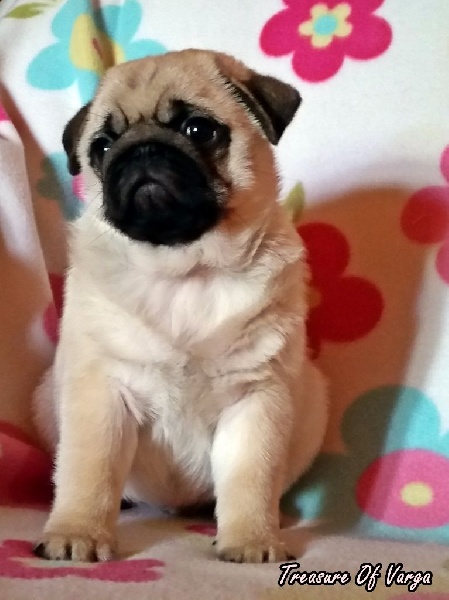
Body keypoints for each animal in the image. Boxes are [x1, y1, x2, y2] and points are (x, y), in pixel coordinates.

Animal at [32, 49, 328, 564]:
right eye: (102, 147)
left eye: (198, 130)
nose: (142, 150)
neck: (185, 270)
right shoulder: (102, 393)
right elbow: (89, 472)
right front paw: (78, 533)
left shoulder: (256, 398)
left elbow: (251, 477)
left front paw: (250, 539)